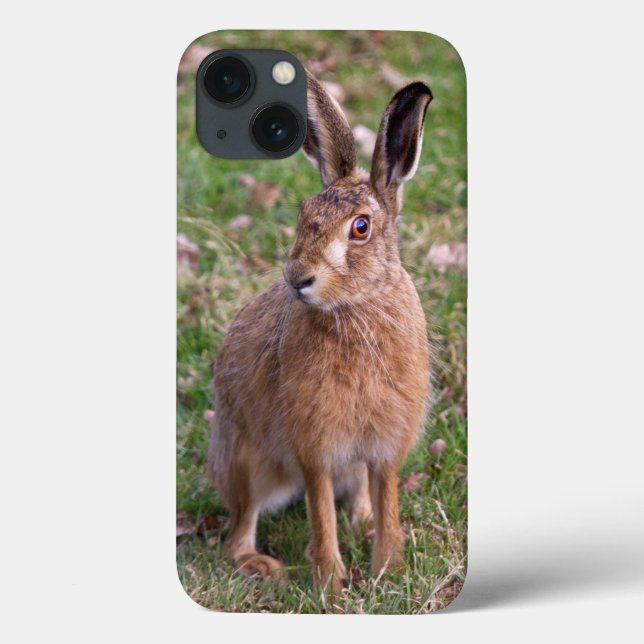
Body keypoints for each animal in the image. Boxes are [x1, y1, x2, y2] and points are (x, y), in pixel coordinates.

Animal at [207, 70, 433, 593]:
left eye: (361, 227)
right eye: (303, 214)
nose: (297, 277)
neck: (356, 308)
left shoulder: (385, 447)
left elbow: (387, 498)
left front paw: (387, 569)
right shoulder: (314, 446)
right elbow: (319, 509)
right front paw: (330, 581)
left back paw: (363, 523)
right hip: (251, 466)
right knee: (238, 532)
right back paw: (262, 565)